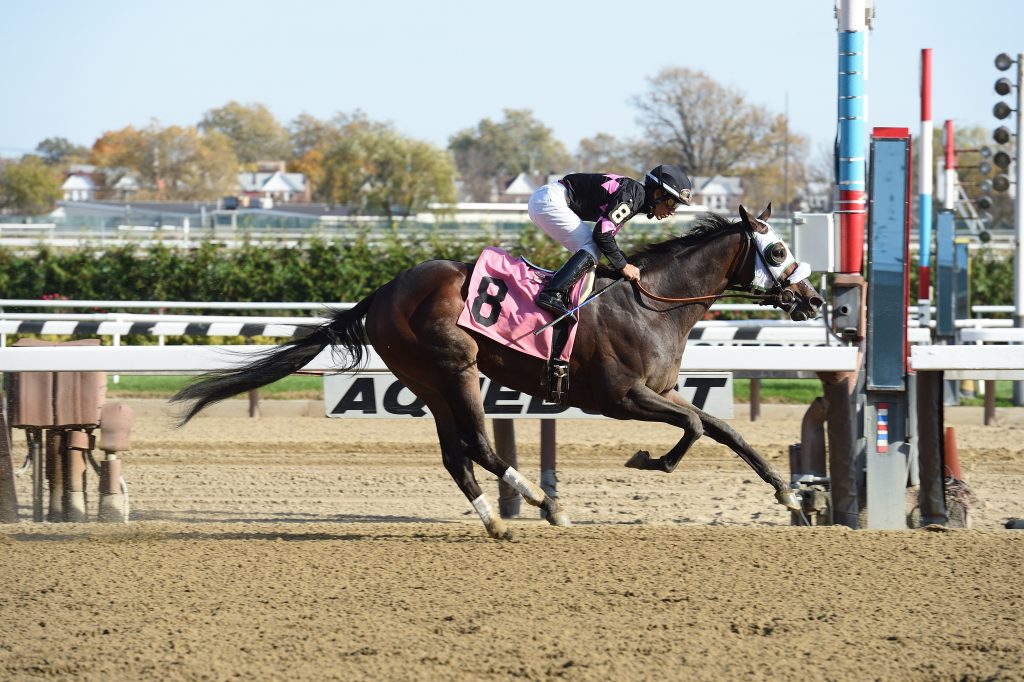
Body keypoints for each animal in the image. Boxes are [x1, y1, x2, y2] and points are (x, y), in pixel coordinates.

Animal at [169, 201, 823, 536]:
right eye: (778, 250)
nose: (814, 301)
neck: (650, 302)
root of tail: (382, 291)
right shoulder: (621, 397)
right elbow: (692, 428)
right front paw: (648, 461)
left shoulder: (663, 391)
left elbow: (725, 430)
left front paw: (791, 498)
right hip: (456, 370)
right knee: (480, 446)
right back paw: (543, 504)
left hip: (428, 382)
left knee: (456, 455)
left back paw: (497, 522)